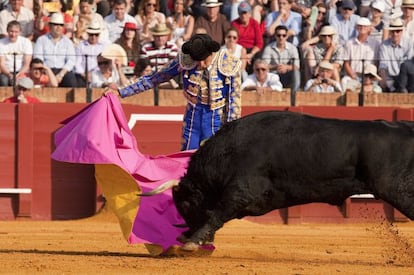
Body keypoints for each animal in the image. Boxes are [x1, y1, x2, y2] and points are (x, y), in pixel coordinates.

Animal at [152, 110, 414, 250]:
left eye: (186, 204)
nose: (184, 232)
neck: (228, 152)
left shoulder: (241, 191)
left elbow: (216, 213)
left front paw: (192, 241)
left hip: (397, 189)